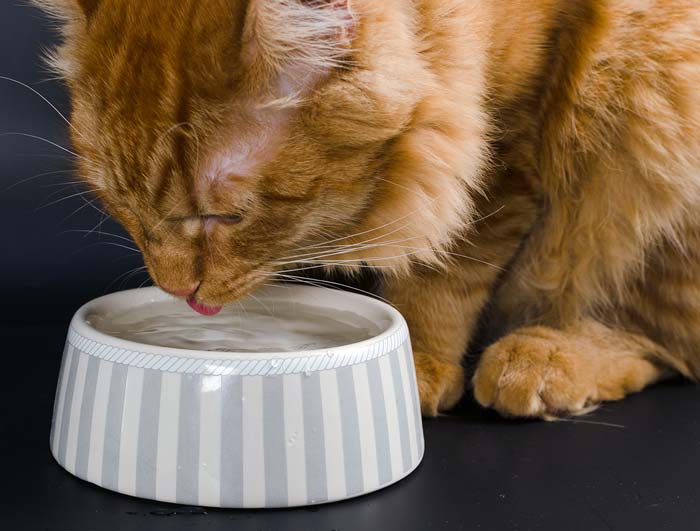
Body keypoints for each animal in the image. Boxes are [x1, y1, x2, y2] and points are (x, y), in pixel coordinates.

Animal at [37, 2, 700, 422]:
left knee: (657, 341)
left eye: (224, 218)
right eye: (123, 208)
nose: (180, 292)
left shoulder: (508, 136)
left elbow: (447, 268)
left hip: (646, 105)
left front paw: (419, 361)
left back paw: (547, 358)